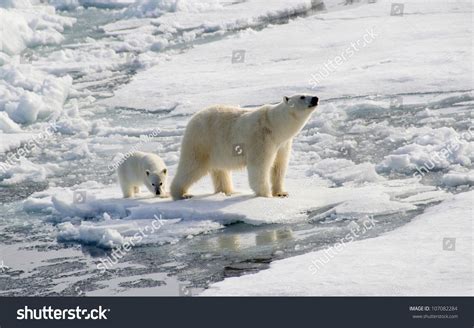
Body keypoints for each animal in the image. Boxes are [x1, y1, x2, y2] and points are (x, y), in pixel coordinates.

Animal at [169, 93, 318, 199]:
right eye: (302, 96)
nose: (315, 98)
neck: (275, 126)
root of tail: (192, 119)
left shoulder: (283, 144)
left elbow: (279, 166)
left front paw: (281, 193)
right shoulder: (261, 139)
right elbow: (259, 167)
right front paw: (266, 195)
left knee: (220, 170)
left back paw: (228, 191)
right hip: (201, 141)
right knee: (191, 166)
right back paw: (182, 193)